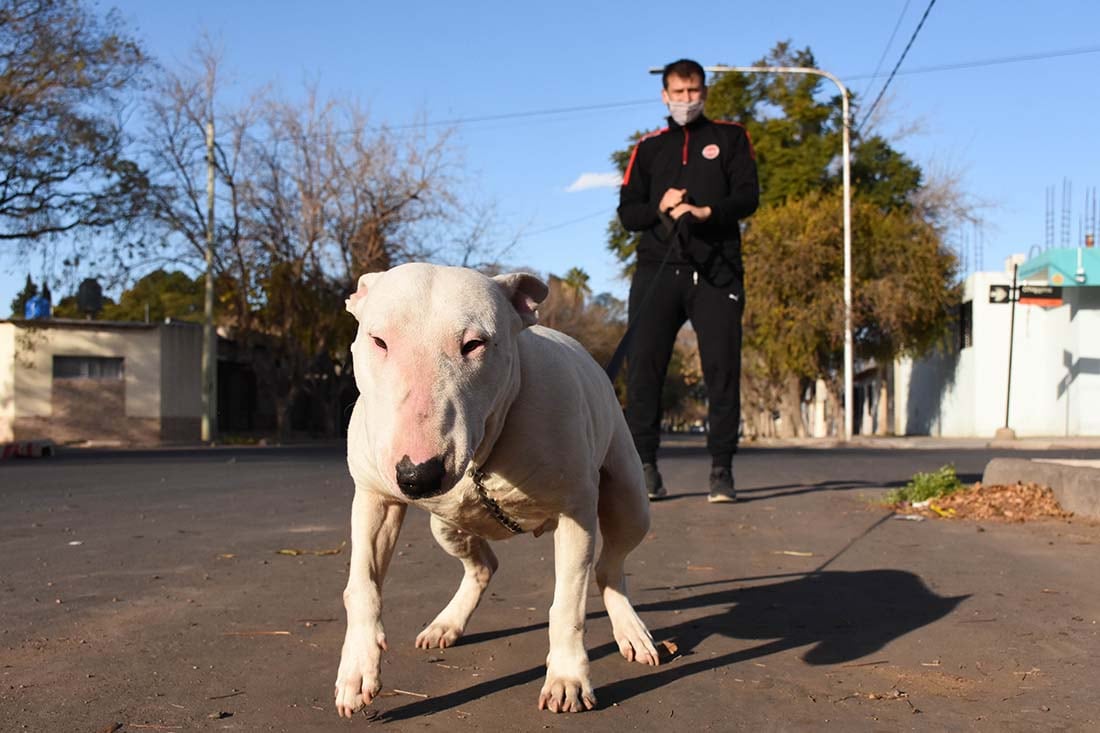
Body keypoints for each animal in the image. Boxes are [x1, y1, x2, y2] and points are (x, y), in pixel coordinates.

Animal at [334, 263, 655, 713]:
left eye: (474, 344)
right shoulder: (374, 500)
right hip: (445, 524)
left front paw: (568, 678)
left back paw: (630, 630)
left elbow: (568, 603)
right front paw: (357, 671)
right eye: (378, 340)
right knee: (483, 565)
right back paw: (447, 623)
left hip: (629, 501)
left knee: (609, 566)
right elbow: (362, 585)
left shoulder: (576, 513)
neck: (484, 452)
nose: (417, 474)